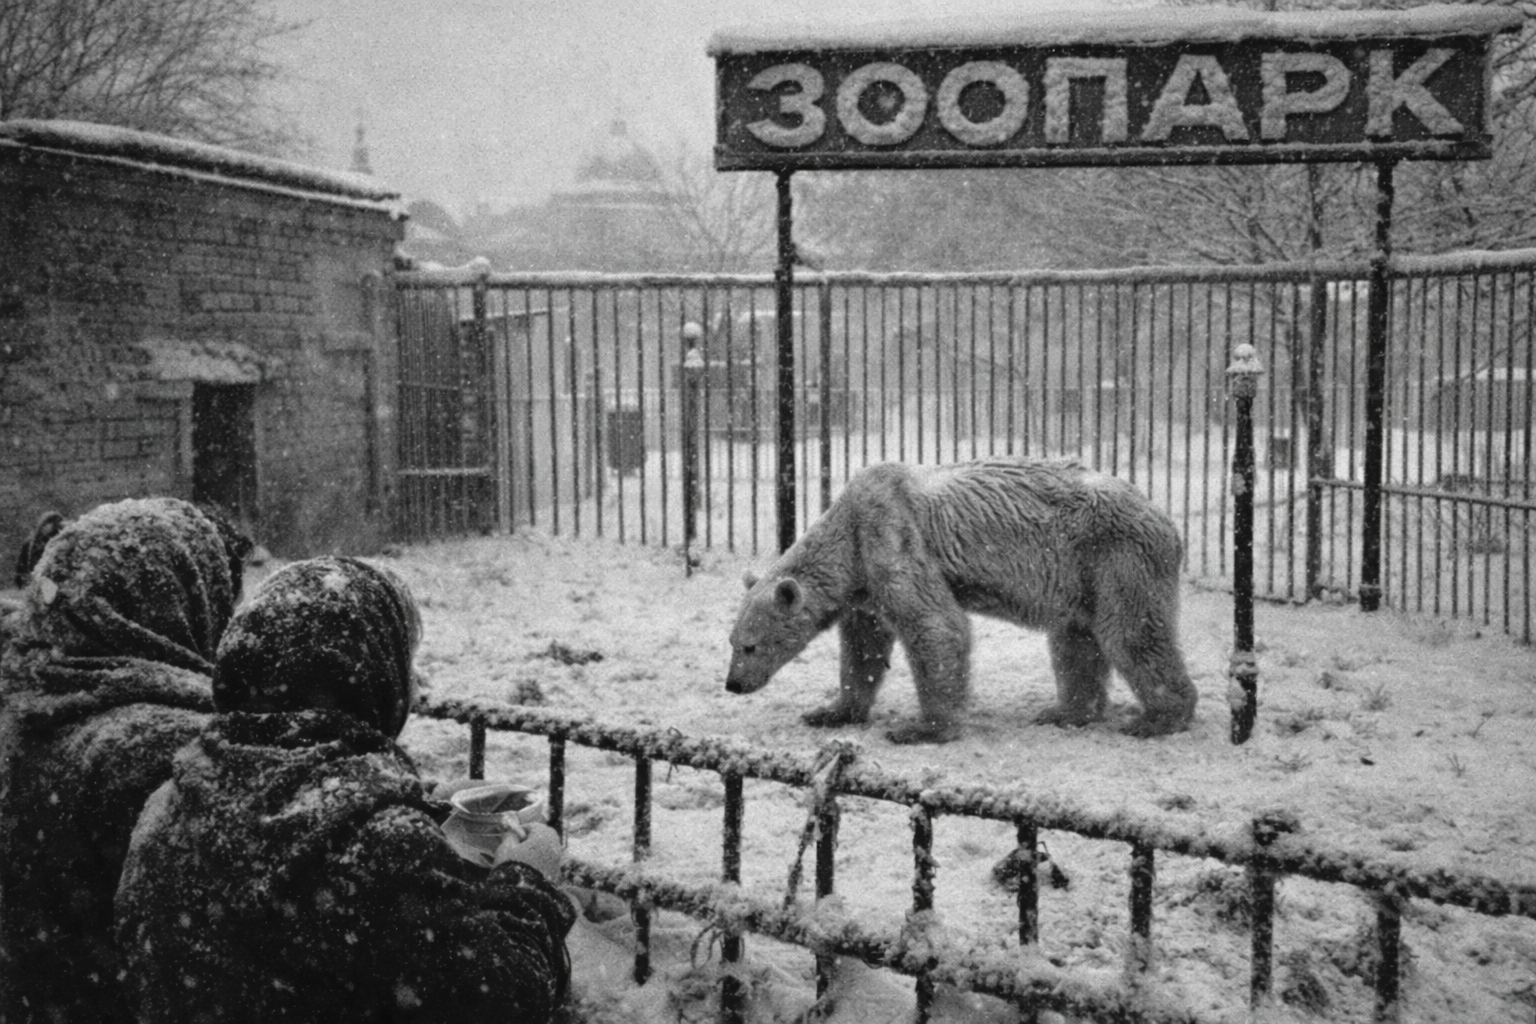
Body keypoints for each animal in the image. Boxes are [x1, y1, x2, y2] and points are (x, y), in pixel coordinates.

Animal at [724, 457, 1197, 744]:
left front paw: (921, 728)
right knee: (1074, 639)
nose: (733, 684)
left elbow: (935, 625)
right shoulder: (865, 585)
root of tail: (1167, 521)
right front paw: (830, 711)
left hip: (1117, 556)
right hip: (1081, 578)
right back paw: (1064, 711)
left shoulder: (893, 540)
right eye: (732, 643)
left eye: (750, 646)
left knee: (1131, 632)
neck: (849, 530)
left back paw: (1157, 718)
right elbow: (864, 646)